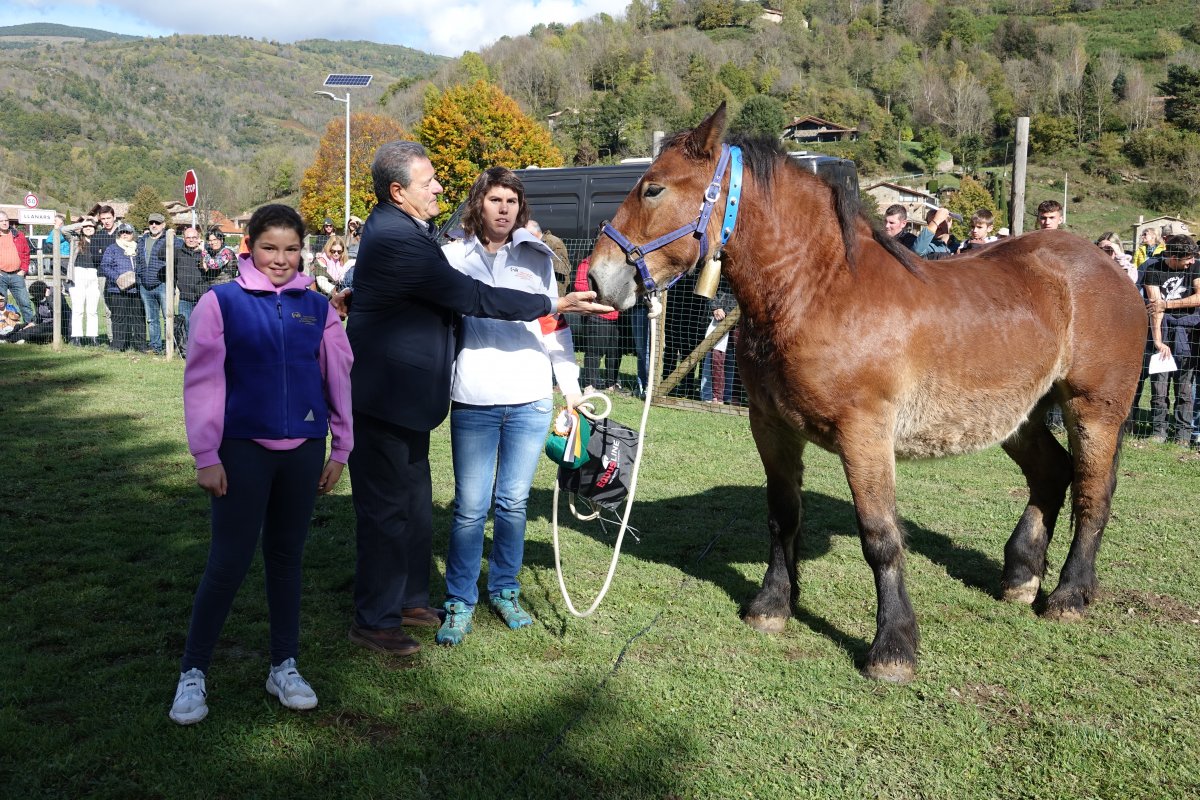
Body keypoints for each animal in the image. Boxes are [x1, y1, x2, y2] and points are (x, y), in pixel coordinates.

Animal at [585, 104, 1147, 681]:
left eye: (653, 189)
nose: (599, 277)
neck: (817, 292)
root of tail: (1108, 267)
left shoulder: (865, 434)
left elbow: (880, 536)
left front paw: (893, 646)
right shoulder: (771, 427)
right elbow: (782, 515)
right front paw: (772, 605)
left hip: (1093, 411)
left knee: (1092, 494)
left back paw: (1069, 595)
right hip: (1018, 416)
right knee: (1051, 475)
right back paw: (1021, 577)